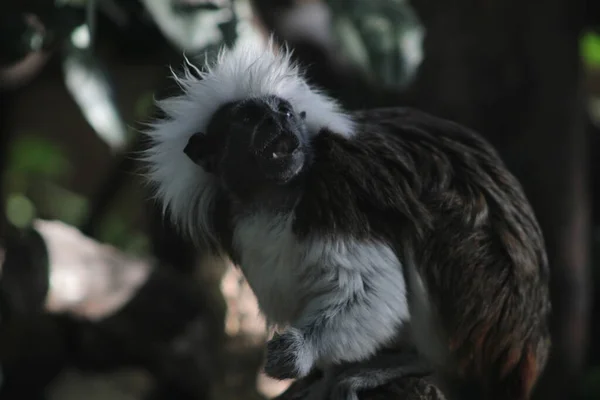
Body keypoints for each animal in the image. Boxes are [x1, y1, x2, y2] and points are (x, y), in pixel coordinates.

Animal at [143, 37, 552, 400]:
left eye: (283, 111)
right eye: (249, 117)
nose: (278, 120)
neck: (277, 198)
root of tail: (528, 344)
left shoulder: (339, 192)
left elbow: (368, 289)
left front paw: (299, 352)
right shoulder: (244, 229)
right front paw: (317, 374)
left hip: (485, 302)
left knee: (440, 221)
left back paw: (417, 364)